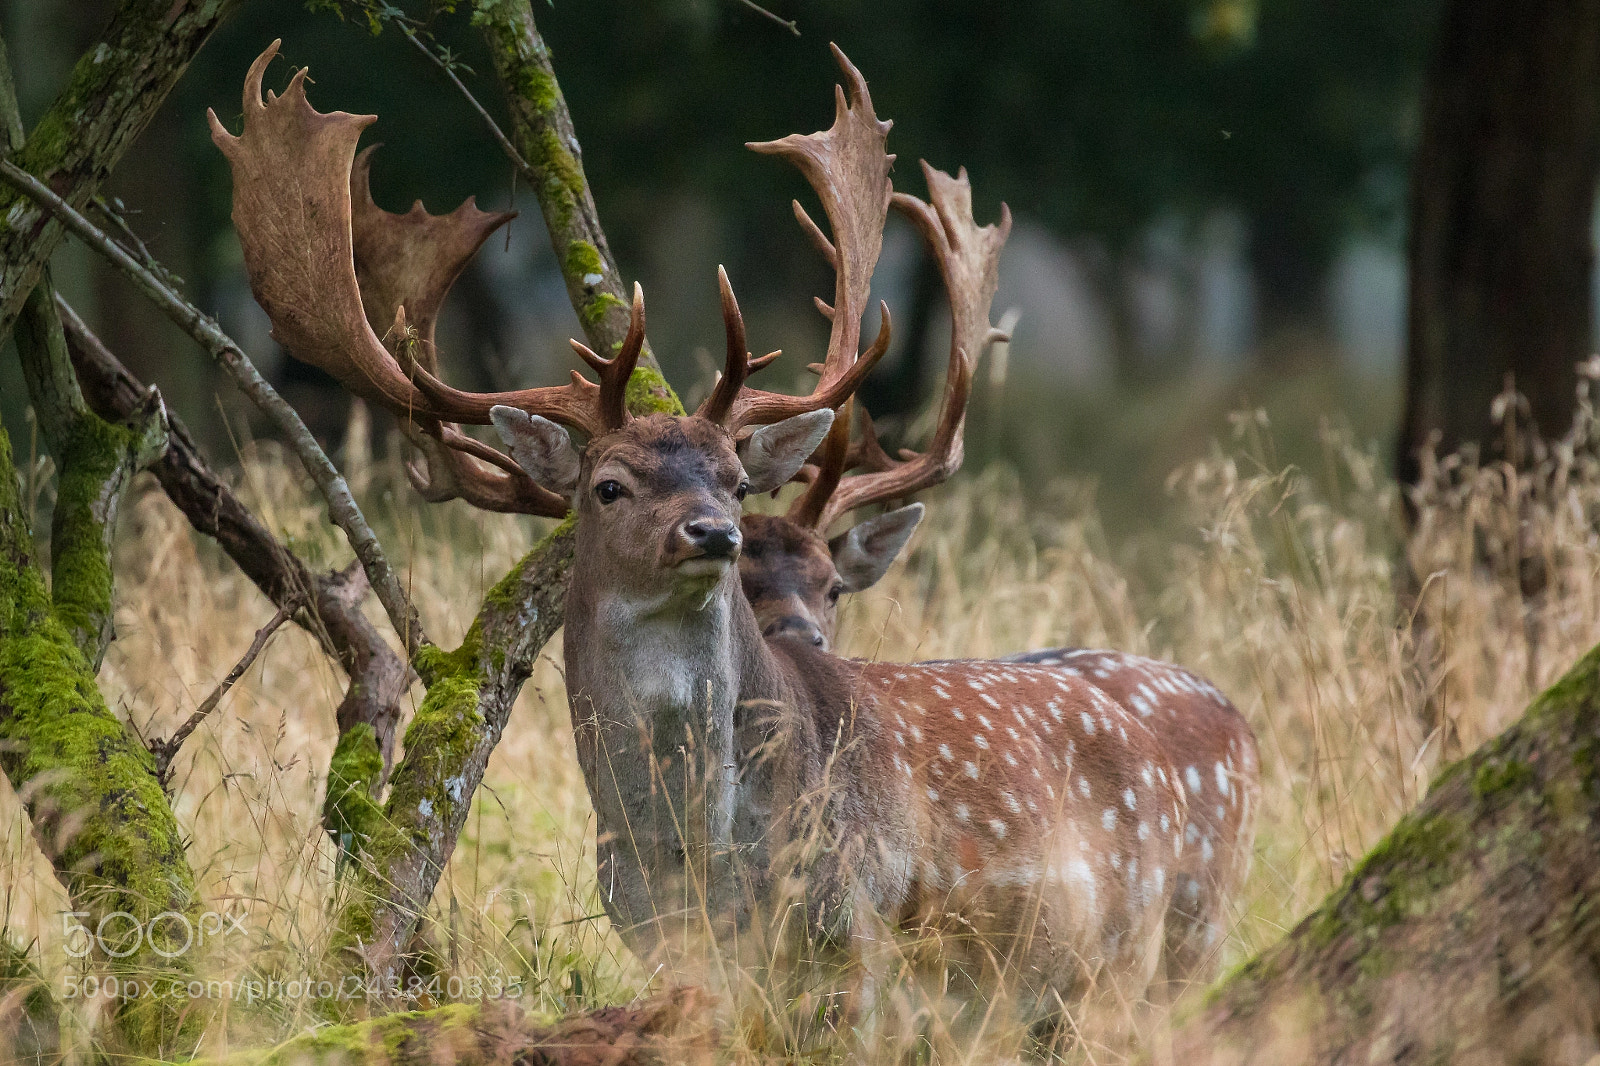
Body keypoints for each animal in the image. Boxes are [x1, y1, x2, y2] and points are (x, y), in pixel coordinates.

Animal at [211, 40, 1192, 1031]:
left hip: (1129, 960)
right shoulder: (669, 952)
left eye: (735, 478)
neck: (699, 865)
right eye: (608, 485)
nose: (712, 532)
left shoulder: (858, 941)